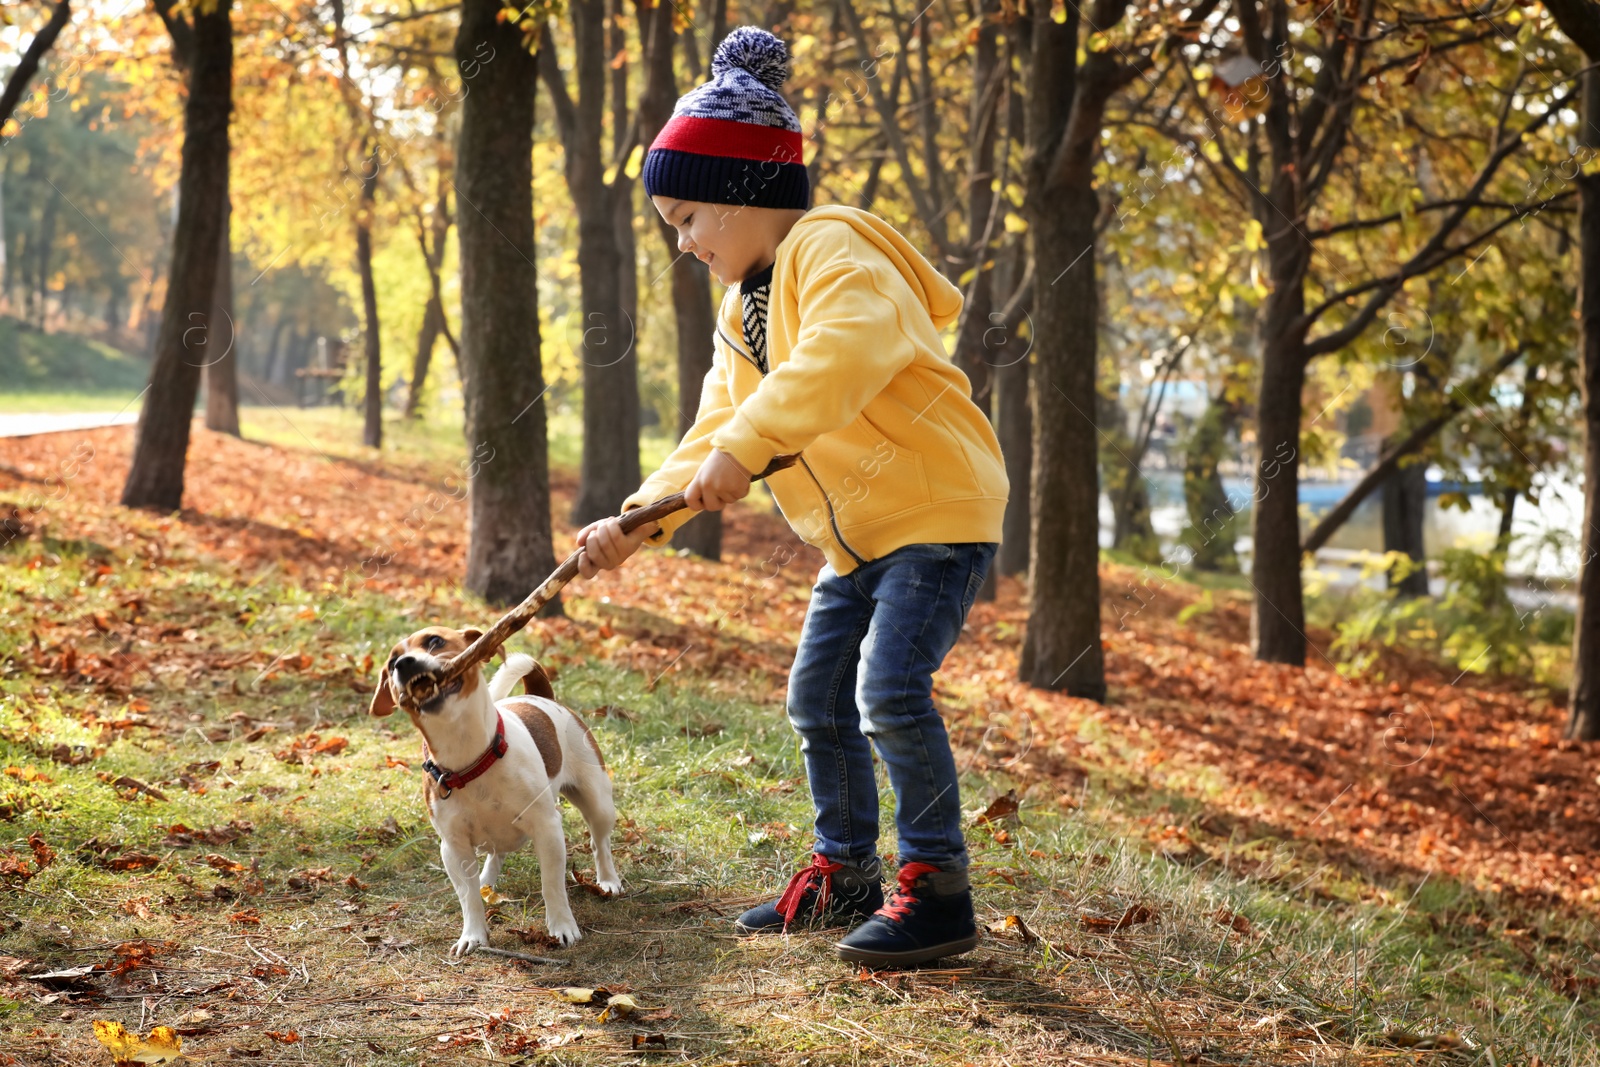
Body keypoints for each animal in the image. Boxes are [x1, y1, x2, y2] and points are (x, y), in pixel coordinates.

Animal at [369, 620, 624, 953]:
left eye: (434, 641)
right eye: (391, 663)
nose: (403, 664)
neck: (470, 759)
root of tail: (541, 697)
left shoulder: (547, 829)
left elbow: (552, 886)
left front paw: (562, 927)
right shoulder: (453, 847)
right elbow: (468, 897)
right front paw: (473, 935)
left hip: (597, 801)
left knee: (599, 843)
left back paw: (608, 880)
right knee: (494, 855)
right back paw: (486, 880)